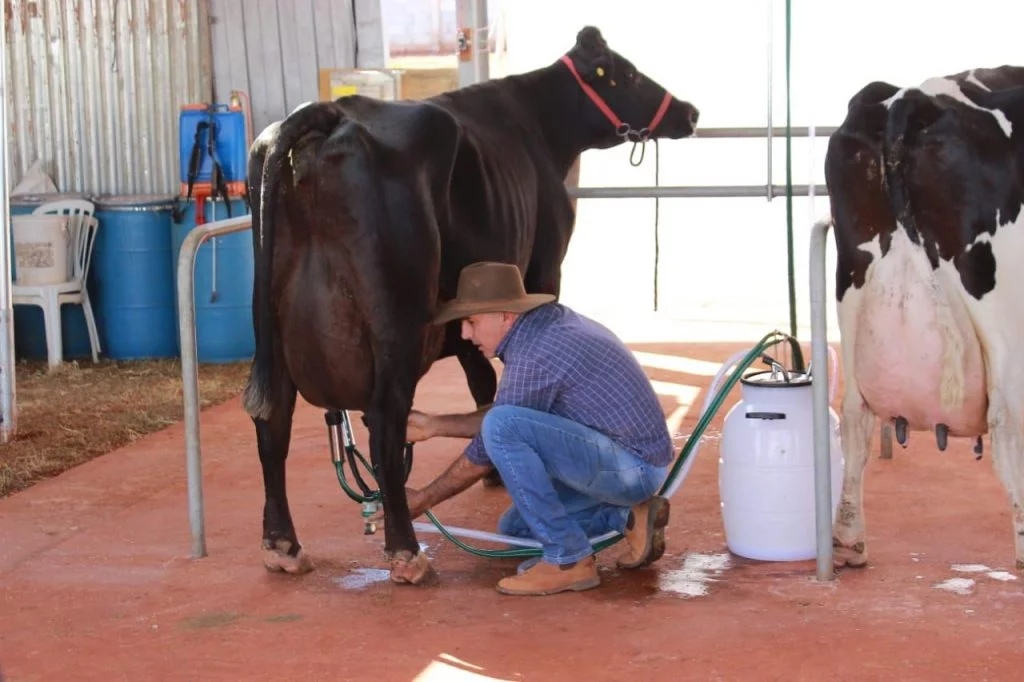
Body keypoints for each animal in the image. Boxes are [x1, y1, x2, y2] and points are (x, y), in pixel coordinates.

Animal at [243, 23, 700, 581]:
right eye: (629, 74)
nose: (690, 112)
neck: (540, 127)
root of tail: (328, 112)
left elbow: (480, 377)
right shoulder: (545, 266)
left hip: (271, 329)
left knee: (273, 420)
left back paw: (282, 545)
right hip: (398, 320)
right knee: (384, 422)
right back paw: (406, 550)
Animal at [827, 65, 1024, 569]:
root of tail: (911, 98)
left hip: (852, 287)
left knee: (854, 415)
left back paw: (848, 539)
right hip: (1000, 310)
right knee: (1006, 425)